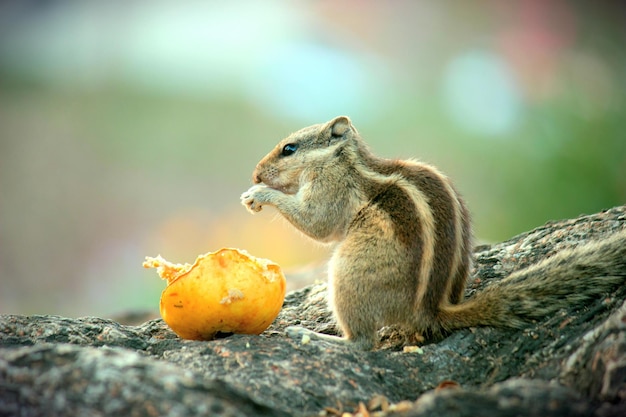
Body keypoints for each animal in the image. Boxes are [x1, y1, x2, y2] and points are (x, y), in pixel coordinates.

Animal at [240, 115, 624, 350]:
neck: (343, 159)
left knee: (363, 343)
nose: (256, 173)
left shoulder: (330, 190)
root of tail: (431, 309)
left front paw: (260, 195)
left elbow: (317, 223)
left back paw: (313, 336)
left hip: (349, 274)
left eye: (289, 149)